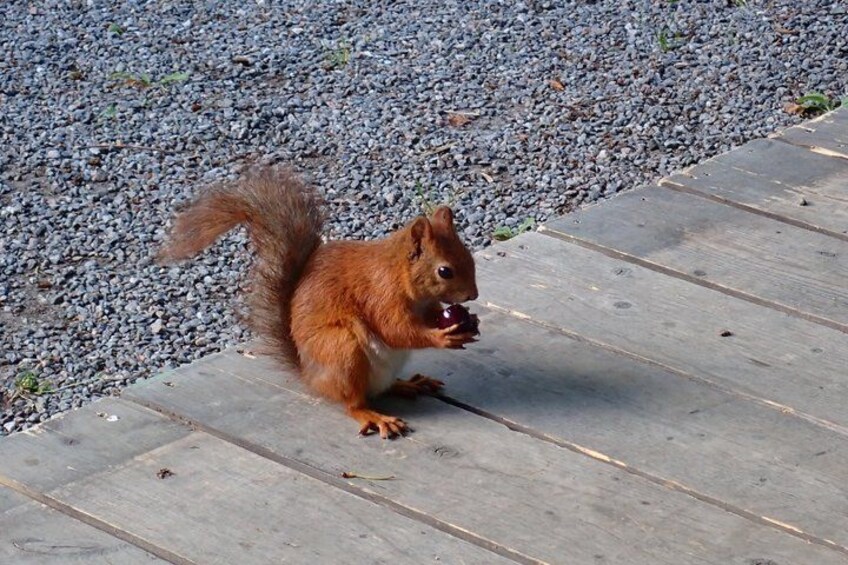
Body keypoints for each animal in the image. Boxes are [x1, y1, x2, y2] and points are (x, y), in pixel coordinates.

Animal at [156, 166, 479, 439]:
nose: (473, 296)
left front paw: (468, 321)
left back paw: (409, 383)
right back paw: (374, 416)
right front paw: (441, 337)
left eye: (468, 255)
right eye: (445, 271)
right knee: (354, 403)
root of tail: (310, 376)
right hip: (343, 350)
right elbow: (396, 330)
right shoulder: (380, 295)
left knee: (381, 389)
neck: (399, 272)